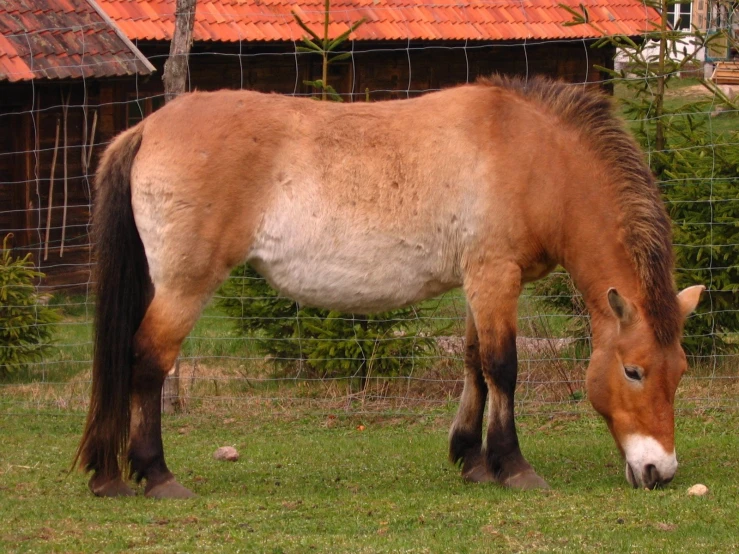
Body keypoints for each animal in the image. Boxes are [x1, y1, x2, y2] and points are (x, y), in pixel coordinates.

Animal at [75, 74, 704, 496]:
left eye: (679, 372)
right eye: (633, 371)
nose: (660, 471)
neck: (535, 157)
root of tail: (146, 128)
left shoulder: (478, 282)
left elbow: (474, 364)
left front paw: (473, 461)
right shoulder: (496, 276)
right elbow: (503, 368)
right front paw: (515, 467)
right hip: (183, 286)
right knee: (146, 362)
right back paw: (148, 475)